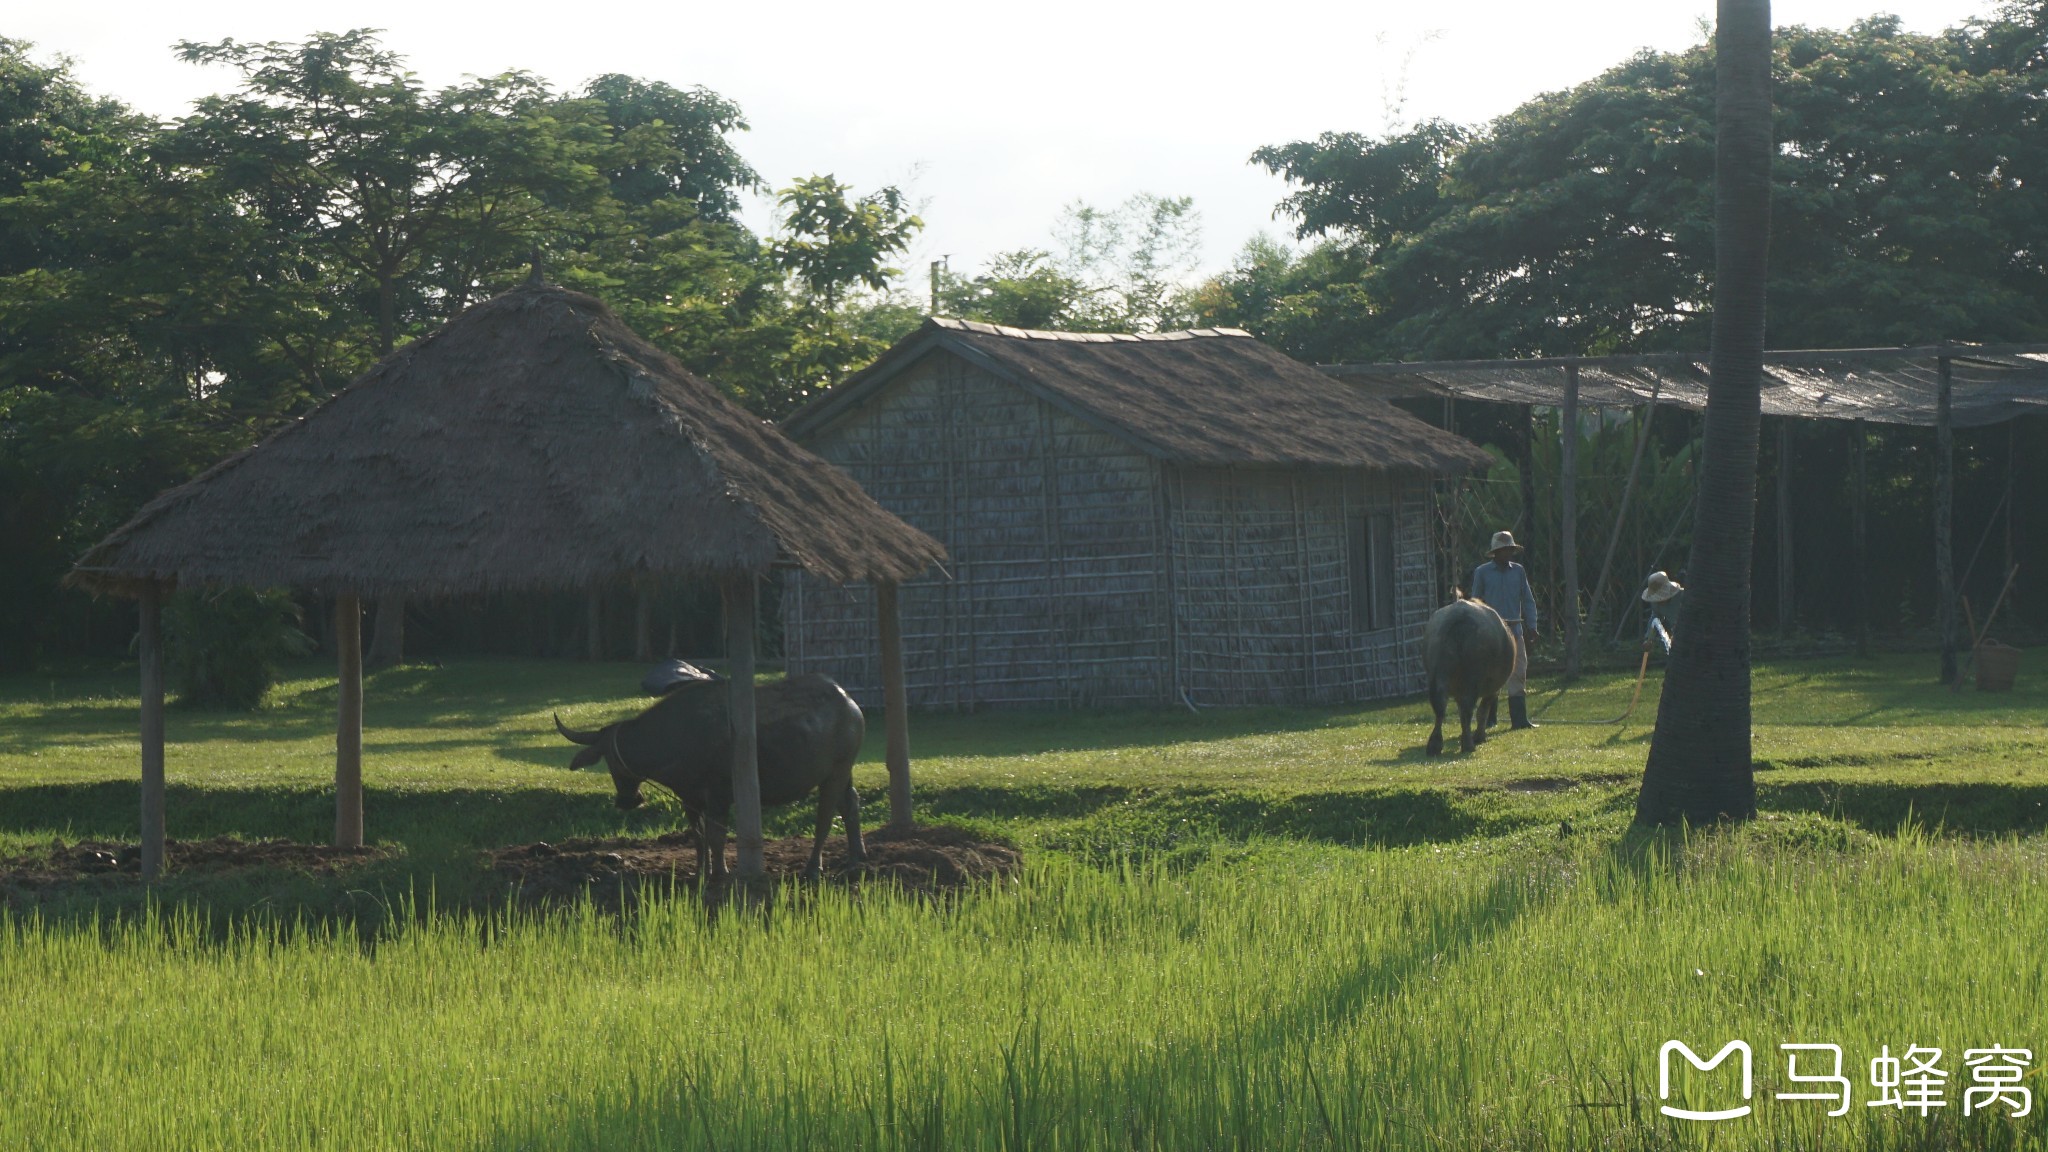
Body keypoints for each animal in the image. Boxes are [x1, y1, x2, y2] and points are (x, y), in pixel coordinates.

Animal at [552, 668, 864, 873]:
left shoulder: (718, 795)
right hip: (846, 771)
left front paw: (720, 872)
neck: (673, 737)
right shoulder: (688, 797)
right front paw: (701, 871)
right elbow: (698, 836)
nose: (628, 800)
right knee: (850, 804)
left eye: (610, 760)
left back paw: (813, 868)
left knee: (826, 815)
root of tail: (849, 702)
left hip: (835, 772)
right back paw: (857, 858)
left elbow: (716, 836)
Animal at [1425, 590, 1523, 754]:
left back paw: (1435, 745)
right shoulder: (1494, 689)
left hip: (1437, 674)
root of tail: (1459, 617)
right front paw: (1479, 736)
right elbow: (1482, 711)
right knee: (1468, 707)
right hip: (1473, 679)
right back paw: (1468, 744)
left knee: (1440, 706)